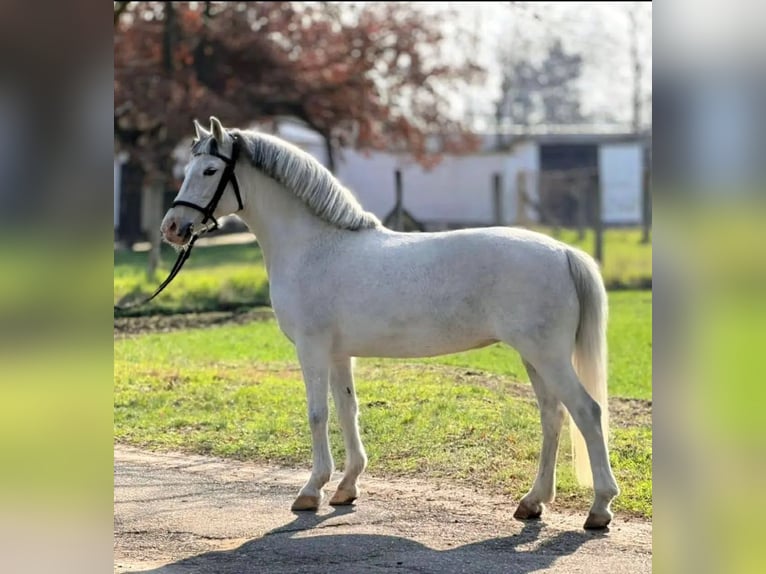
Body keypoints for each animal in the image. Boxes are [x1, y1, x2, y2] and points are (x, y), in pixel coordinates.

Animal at [160, 116, 620, 530]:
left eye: (209, 170)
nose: (172, 228)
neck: (315, 246)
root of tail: (564, 252)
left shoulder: (311, 348)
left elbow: (317, 414)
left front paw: (311, 490)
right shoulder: (338, 353)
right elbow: (347, 410)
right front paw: (346, 487)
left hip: (548, 356)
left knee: (587, 412)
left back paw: (599, 508)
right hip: (534, 357)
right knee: (552, 416)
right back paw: (533, 501)